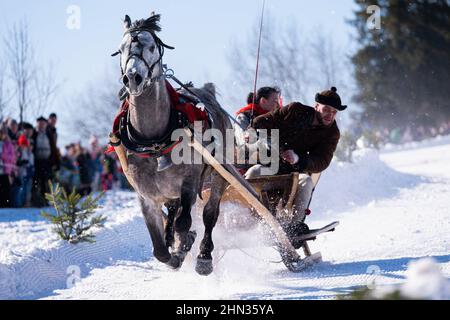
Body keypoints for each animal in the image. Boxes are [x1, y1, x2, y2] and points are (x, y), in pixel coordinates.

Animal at [113, 13, 253, 276]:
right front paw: (174, 252)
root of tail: (207, 91)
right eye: (121, 49)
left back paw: (204, 254)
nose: (133, 78)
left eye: (150, 46)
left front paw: (186, 243)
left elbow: (185, 221)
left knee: (209, 213)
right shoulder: (146, 196)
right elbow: (159, 248)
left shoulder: (189, 181)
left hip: (219, 173)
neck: (154, 141)